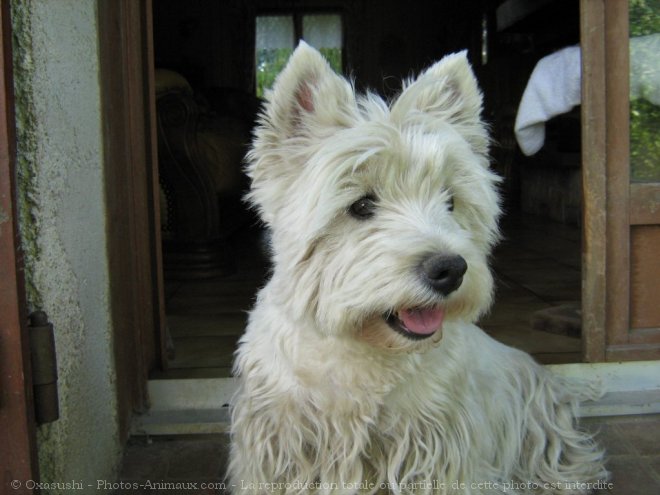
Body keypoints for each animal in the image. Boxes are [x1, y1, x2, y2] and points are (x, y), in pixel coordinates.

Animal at [229, 42, 604, 495]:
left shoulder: (437, 445)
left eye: (450, 201)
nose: (450, 270)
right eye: (361, 205)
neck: (363, 348)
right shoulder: (278, 441)